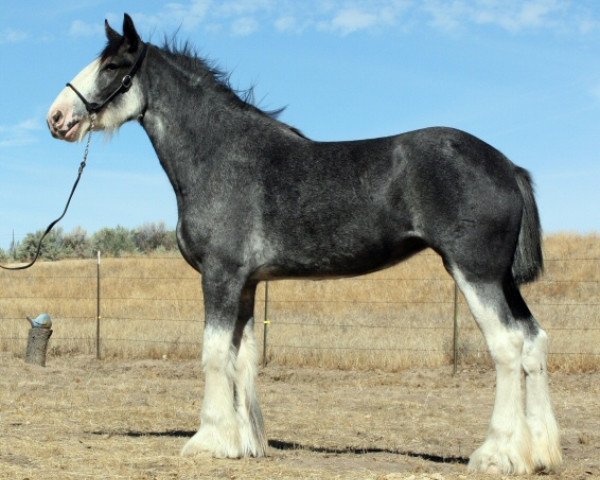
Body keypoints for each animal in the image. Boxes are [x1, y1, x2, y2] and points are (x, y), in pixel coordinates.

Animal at [47, 13, 564, 474]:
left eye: (114, 65)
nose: (57, 118)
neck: (221, 156)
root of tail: (506, 165)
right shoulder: (247, 284)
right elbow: (242, 357)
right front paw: (245, 443)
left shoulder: (220, 275)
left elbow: (213, 354)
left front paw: (208, 440)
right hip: (501, 279)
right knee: (534, 341)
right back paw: (540, 453)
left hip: (474, 273)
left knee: (507, 346)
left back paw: (496, 454)